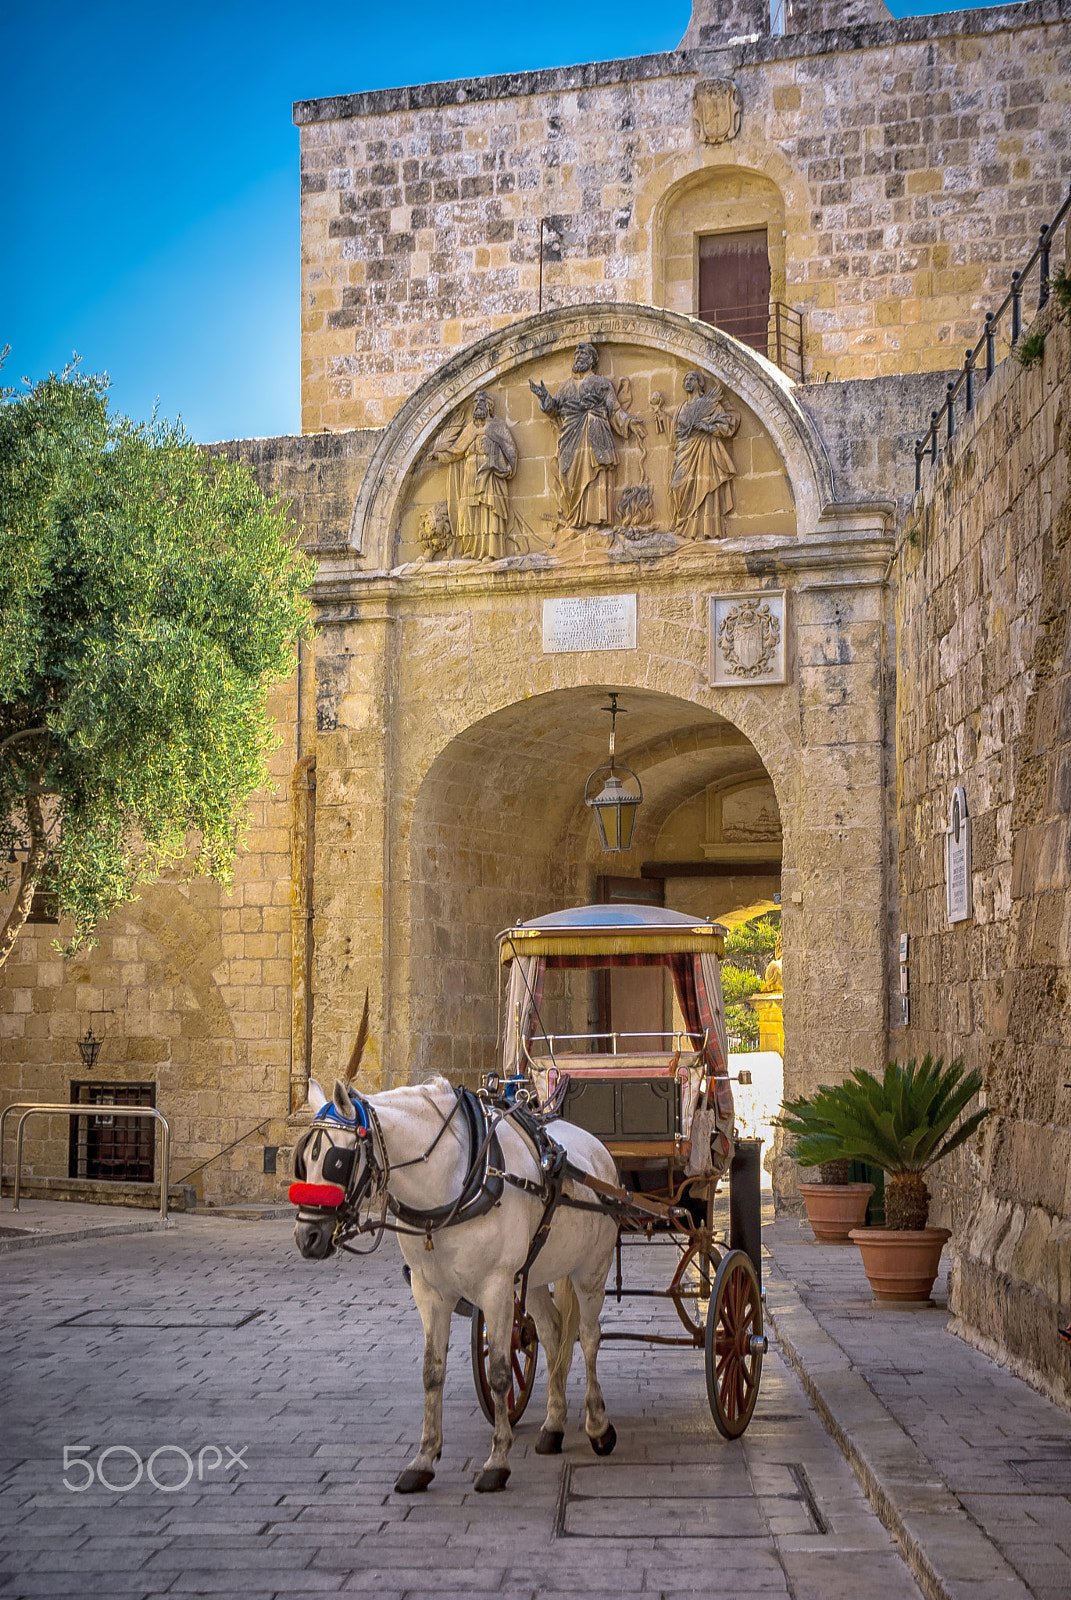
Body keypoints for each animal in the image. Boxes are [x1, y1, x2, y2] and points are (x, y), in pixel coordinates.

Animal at [292, 1075, 617, 1497]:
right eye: (303, 1160)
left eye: (335, 1161)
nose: (308, 1238)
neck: (451, 1184)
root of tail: (598, 1150)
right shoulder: (430, 1292)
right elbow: (432, 1372)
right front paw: (423, 1459)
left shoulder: (496, 1287)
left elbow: (499, 1373)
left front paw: (497, 1462)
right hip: (535, 1273)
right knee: (551, 1332)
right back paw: (553, 1425)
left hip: (591, 1269)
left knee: (590, 1338)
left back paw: (598, 1426)